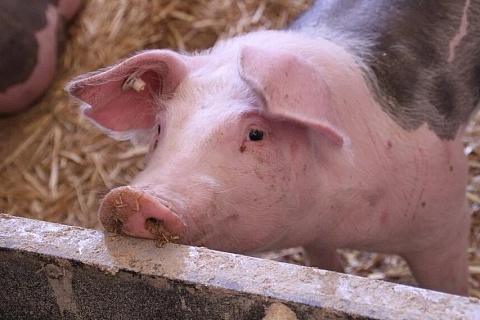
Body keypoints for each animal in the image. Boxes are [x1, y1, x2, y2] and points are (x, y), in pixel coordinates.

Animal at [65, 0, 478, 296]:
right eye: (161, 129)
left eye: (256, 134)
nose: (129, 198)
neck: (332, 216)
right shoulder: (315, 238)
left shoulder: (445, 219)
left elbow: (448, 288)